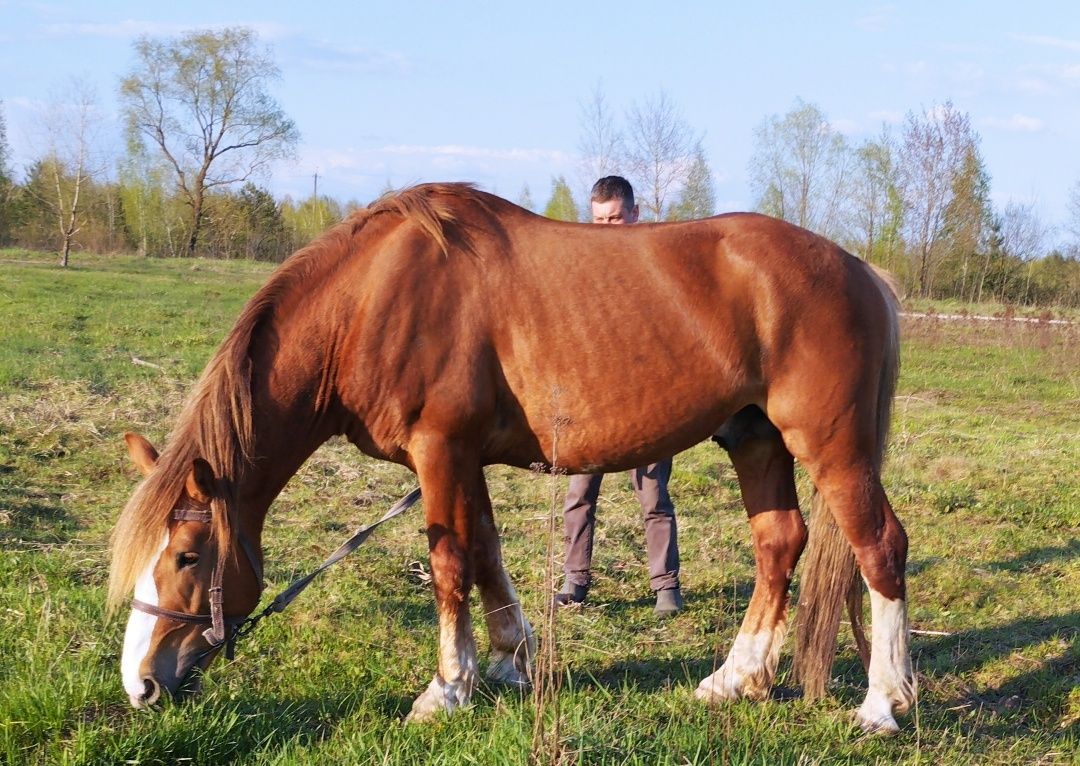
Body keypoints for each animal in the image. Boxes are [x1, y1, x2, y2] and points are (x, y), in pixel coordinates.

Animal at [107, 182, 911, 730]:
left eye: (188, 557)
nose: (139, 684)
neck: (370, 302)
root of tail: (859, 269)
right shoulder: (464, 459)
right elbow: (486, 554)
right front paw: (506, 662)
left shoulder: (439, 451)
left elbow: (448, 564)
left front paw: (445, 690)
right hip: (756, 438)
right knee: (779, 543)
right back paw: (734, 679)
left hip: (831, 447)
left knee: (880, 546)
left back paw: (884, 703)